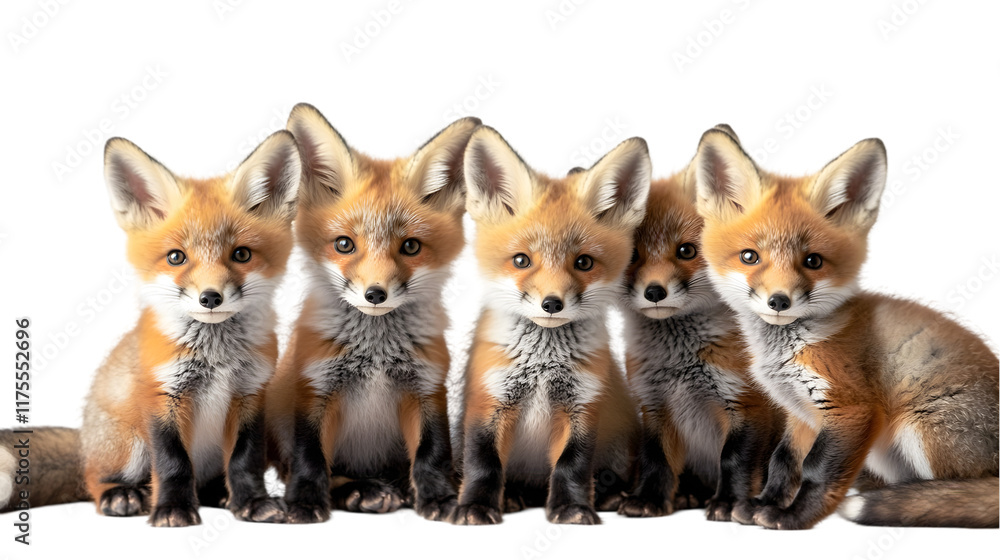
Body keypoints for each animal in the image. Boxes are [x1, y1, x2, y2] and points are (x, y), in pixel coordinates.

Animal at [0, 132, 302, 526]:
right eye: (176, 257)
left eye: (241, 255)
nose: (210, 297)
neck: (216, 357)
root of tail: (85, 440)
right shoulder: (162, 396)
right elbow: (173, 464)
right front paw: (172, 510)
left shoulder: (251, 395)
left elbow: (245, 461)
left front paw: (252, 503)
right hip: (128, 445)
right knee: (94, 481)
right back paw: (123, 495)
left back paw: (219, 495)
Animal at [263, 104, 479, 523]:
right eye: (344, 244)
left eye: (411, 246)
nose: (375, 294)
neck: (375, 355)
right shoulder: (315, 387)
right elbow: (311, 458)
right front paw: (305, 503)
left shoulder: (427, 387)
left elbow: (432, 454)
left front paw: (440, 499)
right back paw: (360, 492)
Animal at [453, 126, 646, 525]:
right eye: (521, 260)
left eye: (584, 262)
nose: (552, 304)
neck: (543, 365)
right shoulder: (488, 400)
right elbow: (483, 462)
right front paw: (476, 506)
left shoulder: (584, 404)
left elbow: (572, 465)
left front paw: (572, 508)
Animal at [617, 129, 784, 522]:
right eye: (632, 256)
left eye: (687, 251)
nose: (655, 292)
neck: (681, 364)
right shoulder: (655, 406)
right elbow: (657, 462)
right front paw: (649, 499)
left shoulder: (747, 405)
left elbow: (735, 463)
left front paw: (729, 504)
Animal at [692, 125, 999, 529]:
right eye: (749, 257)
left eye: (813, 261)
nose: (779, 301)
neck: (787, 349)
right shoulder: (801, 414)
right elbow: (783, 462)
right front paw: (766, 504)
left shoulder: (849, 408)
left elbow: (817, 471)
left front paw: (793, 518)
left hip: (919, 430)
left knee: (958, 491)